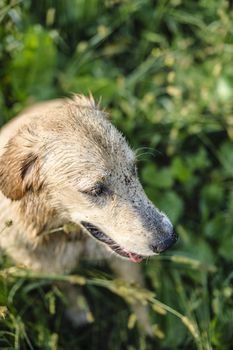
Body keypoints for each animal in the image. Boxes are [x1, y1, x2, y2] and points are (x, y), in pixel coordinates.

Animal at [0, 95, 177, 330]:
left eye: (133, 169)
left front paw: (148, 330)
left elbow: (136, 292)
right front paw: (78, 312)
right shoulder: (46, 265)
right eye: (95, 190)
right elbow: (67, 286)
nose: (168, 240)